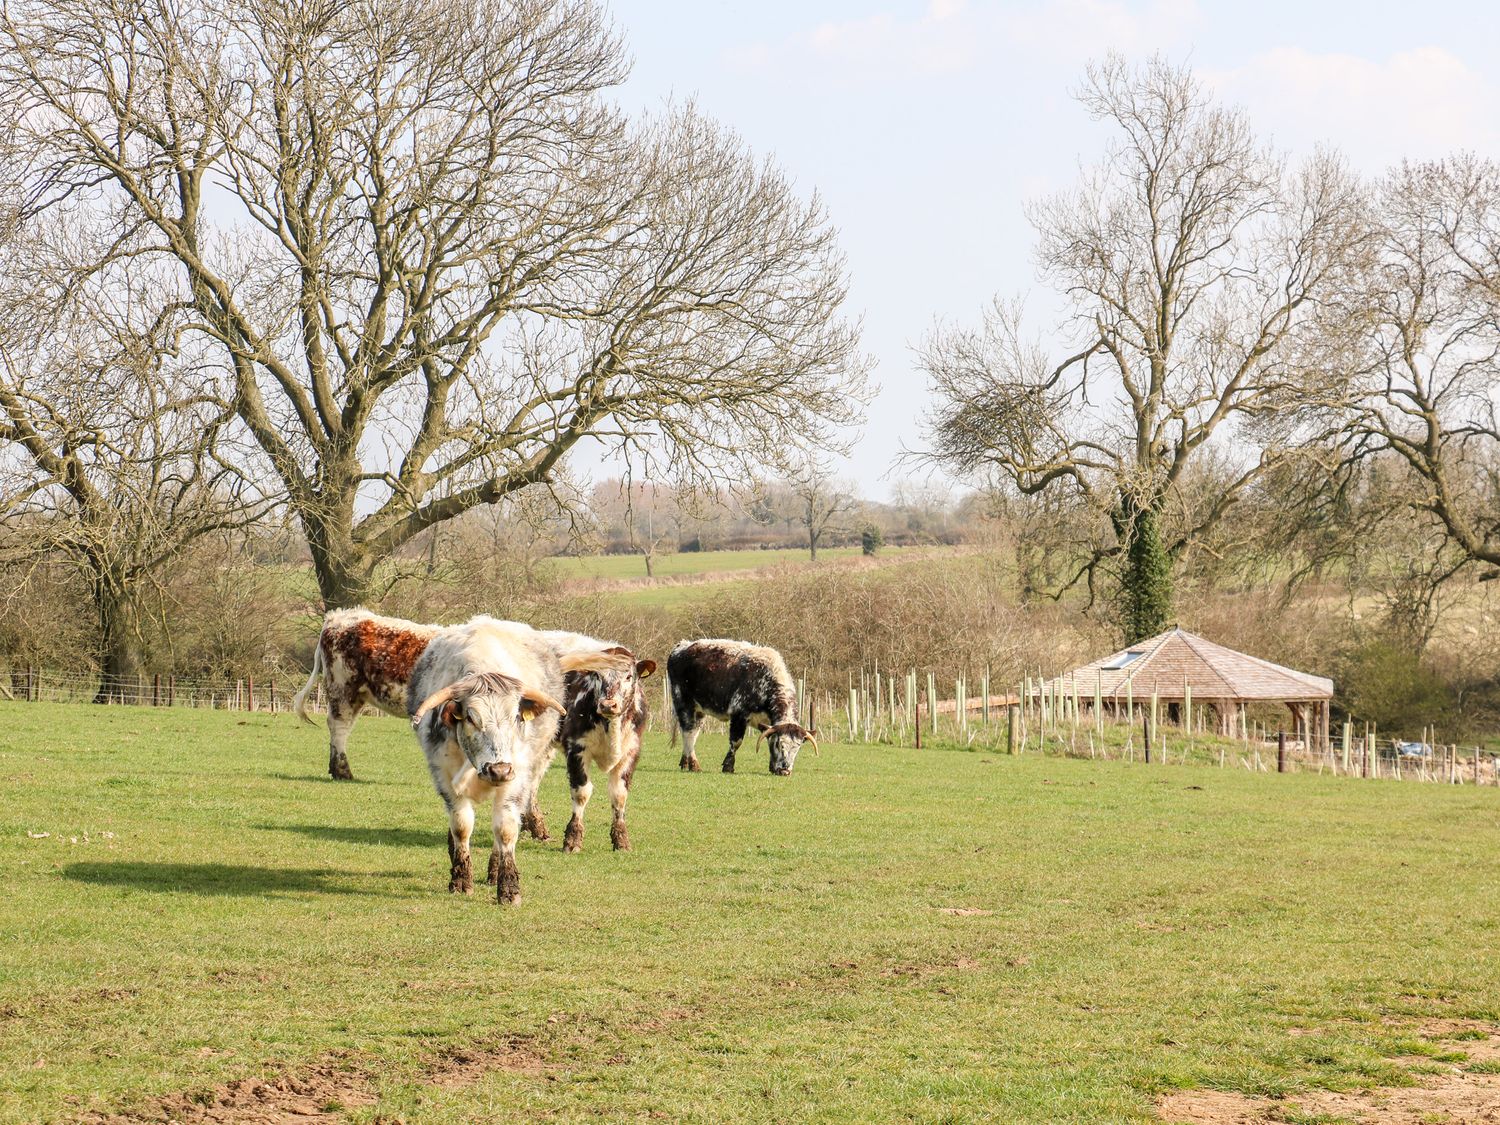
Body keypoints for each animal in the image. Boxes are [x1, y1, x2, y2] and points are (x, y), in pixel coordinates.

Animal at [408, 618, 564, 906]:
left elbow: (505, 830)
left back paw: (493, 871)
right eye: (470, 717)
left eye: (515, 716)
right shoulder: (445, 777)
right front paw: (460, 880)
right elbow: (461, 827)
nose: (498, 770)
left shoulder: (516, 778)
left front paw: (508, 888)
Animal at [537, 636, 660, 852]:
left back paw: (537, 829)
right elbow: (582, 792)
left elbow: (619, 795)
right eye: (597, 675)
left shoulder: (631, 752)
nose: (608, 705)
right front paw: (573, 839)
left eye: (629, 676)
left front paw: (621, 839)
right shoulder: (577, 749)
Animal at [666, 639, 816, 780]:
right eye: (780, 744)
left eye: (798, 747)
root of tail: (682, 646)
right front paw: (728, 766)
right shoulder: (739, 715)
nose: (785, 770)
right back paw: (694, 765)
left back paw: (684, 762)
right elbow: (736, 742)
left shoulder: (767, 723)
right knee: (689, 733)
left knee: (693, 732)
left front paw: (773, 767)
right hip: (683, 703)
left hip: (699, 710)